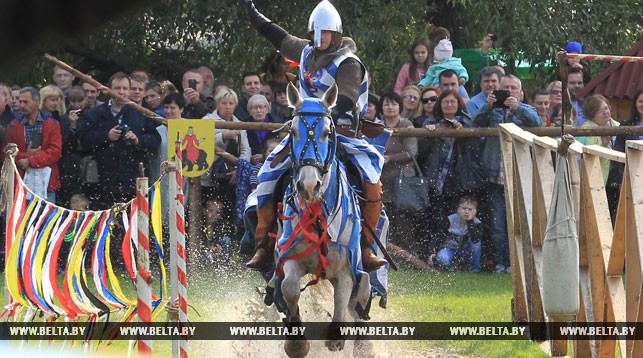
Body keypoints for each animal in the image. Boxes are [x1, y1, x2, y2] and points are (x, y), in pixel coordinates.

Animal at [270, 82, 374, 356]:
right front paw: (296, 344)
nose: (308, 185)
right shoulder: (289, 259)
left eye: (327, 132)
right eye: (292, 131)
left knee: (362, 296)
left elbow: (341, 300)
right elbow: (289, 289)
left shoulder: (347, 268)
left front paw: (336, 339)